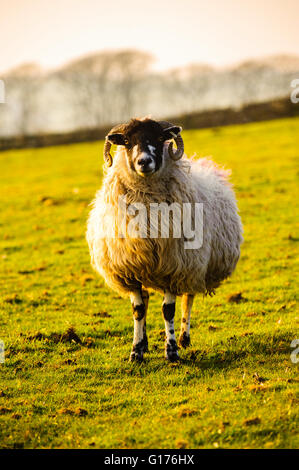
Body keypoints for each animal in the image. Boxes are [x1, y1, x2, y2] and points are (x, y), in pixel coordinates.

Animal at [87, 117, 244, 364]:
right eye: (127, 141)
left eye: (161, 138)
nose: (144, 161)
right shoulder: (131, 269)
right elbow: (138, 310)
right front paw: (136, 352)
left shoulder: (174, 265)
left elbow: (168, 310)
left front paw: (171, 352)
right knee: (146, 300)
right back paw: (146, 343)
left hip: (194, 265)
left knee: (188, 298)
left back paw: (183, 338)